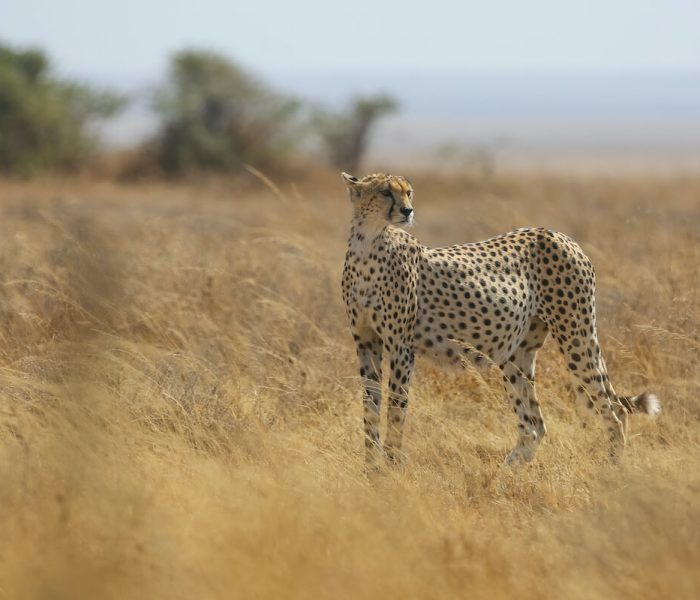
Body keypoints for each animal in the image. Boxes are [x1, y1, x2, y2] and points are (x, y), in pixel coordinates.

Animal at [342, 171, 660, 466]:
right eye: (385, 192)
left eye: (408, 192)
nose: (408, 211)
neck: (368, 242)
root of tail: (558, 233)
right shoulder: (366, 342)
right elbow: (370, 406)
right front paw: (370, 468)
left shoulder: (401, 346)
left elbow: (396, 408)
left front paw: (391, 466)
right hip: (516, 353)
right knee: (535, 425)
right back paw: (505, 470)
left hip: (575, 336)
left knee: (614, 410)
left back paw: (612, 468)